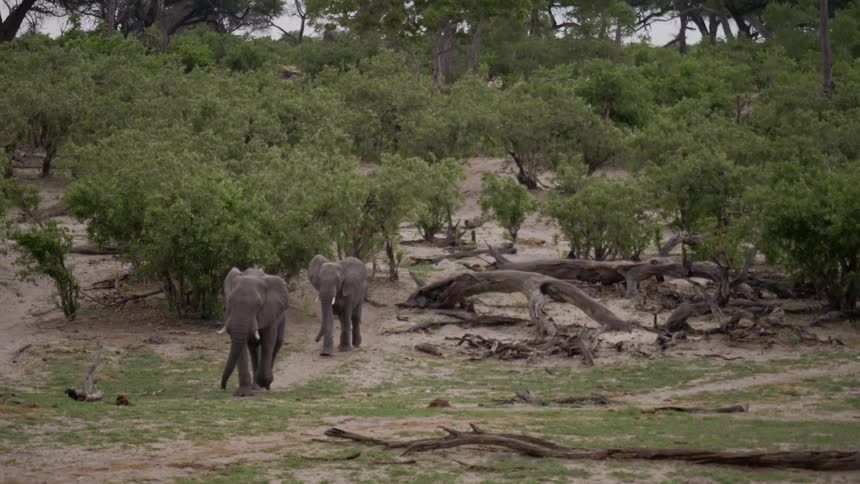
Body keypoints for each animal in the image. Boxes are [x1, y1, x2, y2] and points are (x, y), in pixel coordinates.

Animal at [220, 267, 288, 397]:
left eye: (259, 304)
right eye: (229, 301)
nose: (223, 387)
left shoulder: (270, 311)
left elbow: (268, 342)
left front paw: (265, 382)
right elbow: (241, 345)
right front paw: (243, 393)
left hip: (283, 316)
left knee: (277, 343)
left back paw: (266, 386)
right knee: (253, 346)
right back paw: (256, 386)